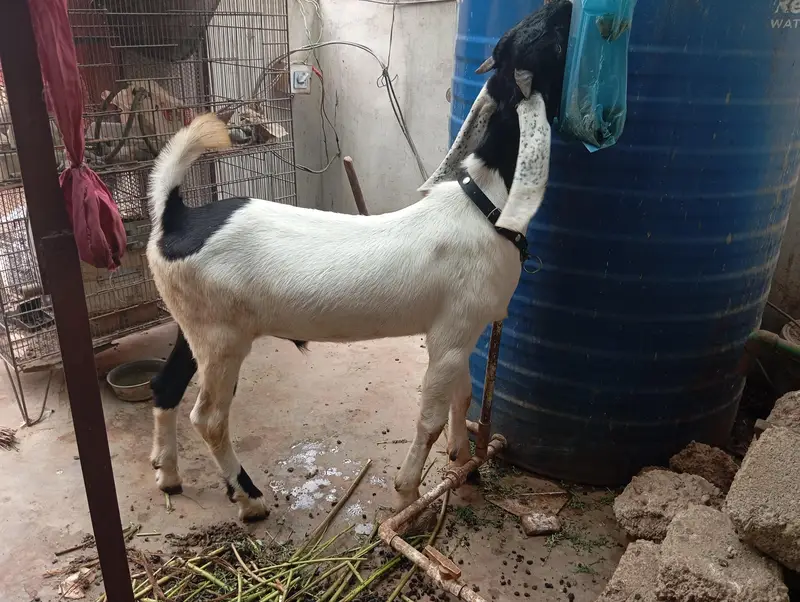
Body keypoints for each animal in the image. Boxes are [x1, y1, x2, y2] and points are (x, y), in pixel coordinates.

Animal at [146, 0, 572, 522]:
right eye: (554, 44)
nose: (564, 8)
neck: (484, 202)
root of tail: (175, 215)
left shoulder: (463, 332)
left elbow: (465, 396)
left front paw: (463, 467)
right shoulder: (450, 333)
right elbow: (430, 418)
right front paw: (408, 495)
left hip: (194, 324)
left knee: (164, 386)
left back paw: (168, 475)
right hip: (221, 338)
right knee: (207, 417)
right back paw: (249, 498)